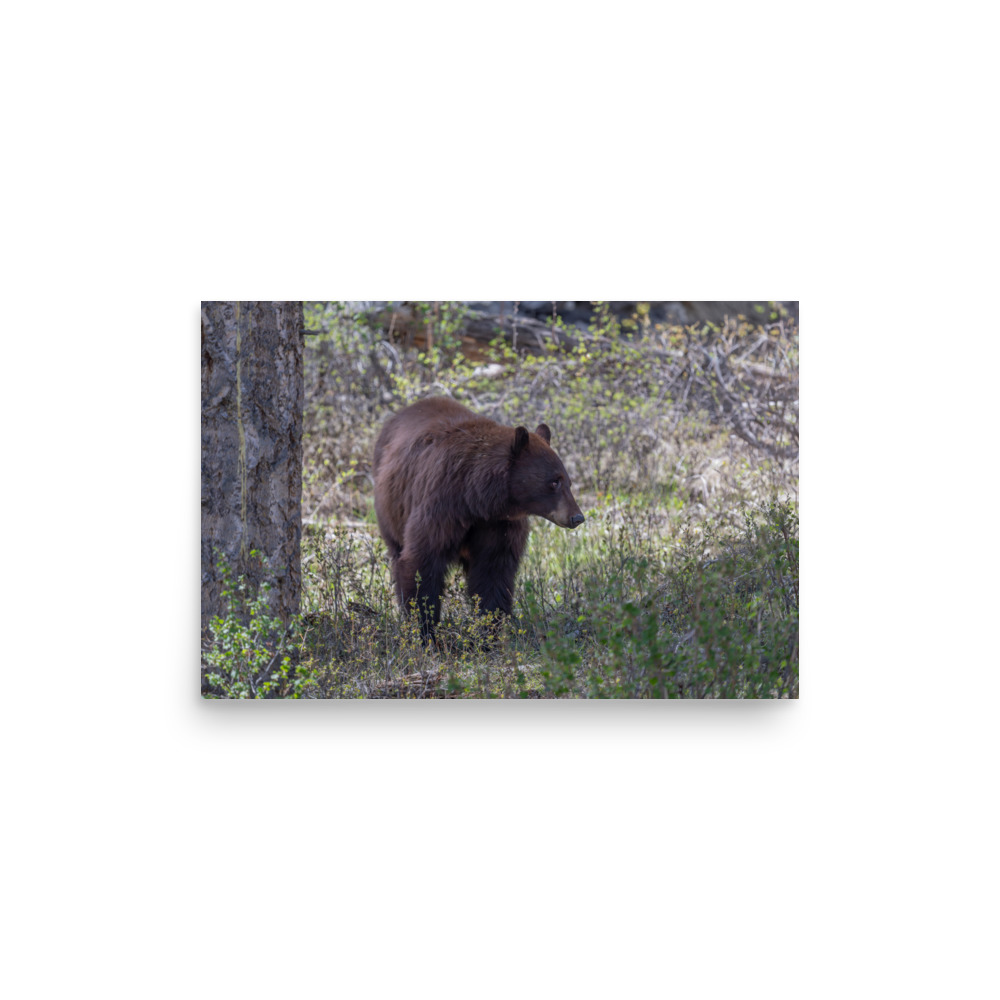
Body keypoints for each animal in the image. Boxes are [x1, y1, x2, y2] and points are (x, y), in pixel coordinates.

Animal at [372, 396, 584, 637]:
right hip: (390, 510)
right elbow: (422, 562)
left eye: (568, 481)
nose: (577, 517)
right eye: (554, 482)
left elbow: (493, 573)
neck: (477, 500)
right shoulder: (441, 506)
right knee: (397, 552)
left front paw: (487, 632)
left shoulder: (499, 524)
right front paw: (425, 630)